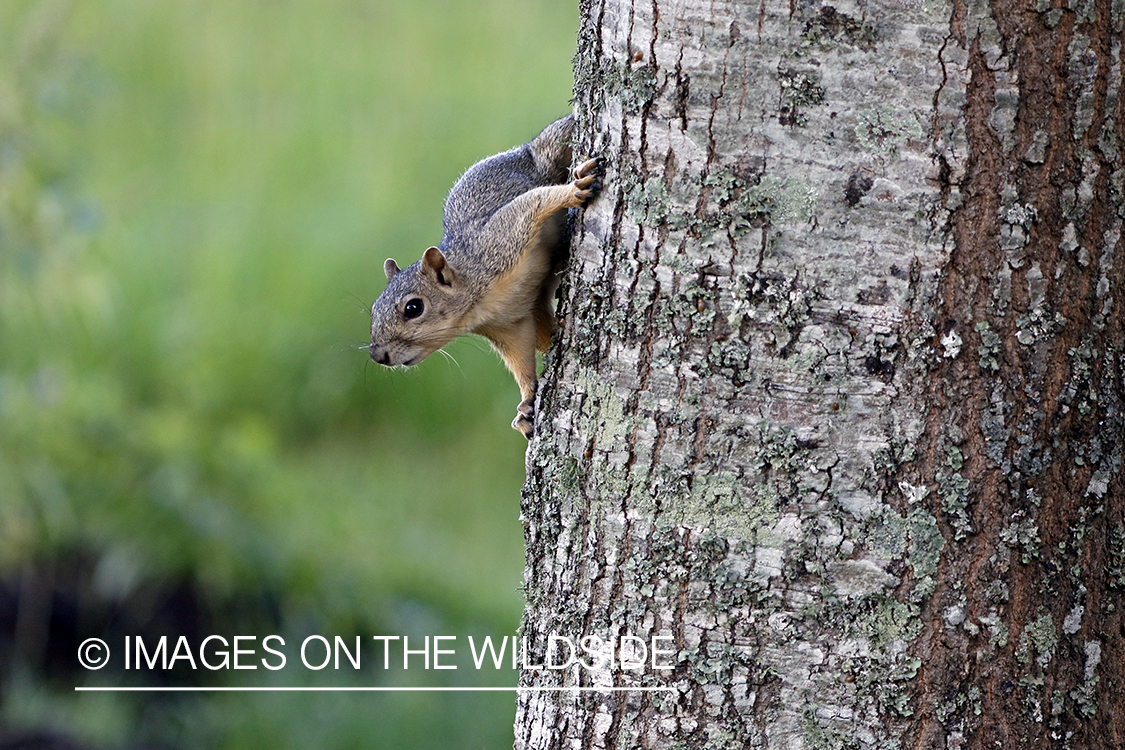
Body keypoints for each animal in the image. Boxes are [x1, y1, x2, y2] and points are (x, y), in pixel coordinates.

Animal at [369, 114, 603, 439]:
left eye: (413, 308)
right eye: (373, 310)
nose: (378, 356)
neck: (479, 305)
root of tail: (521, 151)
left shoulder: (502, 240)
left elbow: (535, 202)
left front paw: (574, 191)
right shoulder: (506, 326)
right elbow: (520, 359)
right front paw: (527, 400)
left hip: (547, 156)